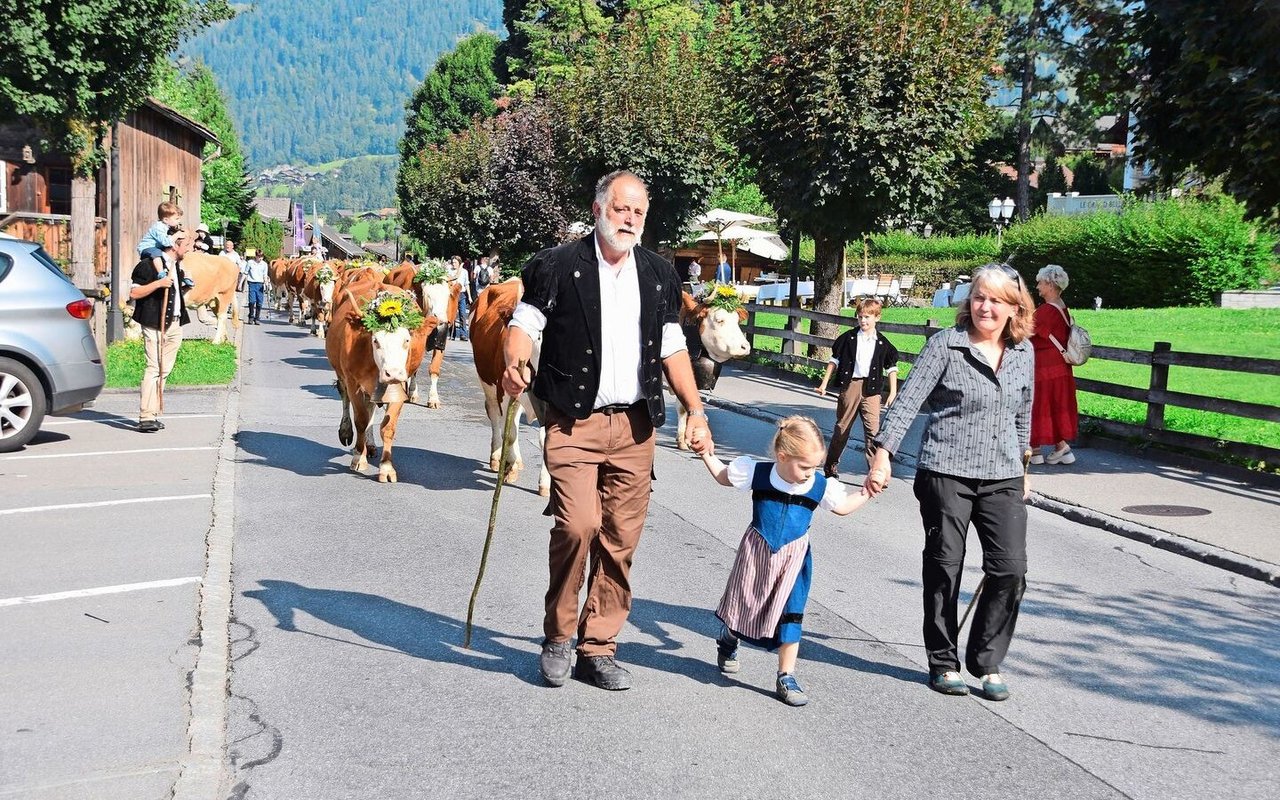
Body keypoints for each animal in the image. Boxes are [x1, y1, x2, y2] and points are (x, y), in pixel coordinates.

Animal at [325, 277, 440, 483]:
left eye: (407, 340)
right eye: (376, 341)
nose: (392, 372)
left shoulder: (400, 384)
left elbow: (388, 426)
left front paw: (386, 467)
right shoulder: (353, 382)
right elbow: (361, 420)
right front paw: (358, 457)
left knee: (370, 407)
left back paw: (370, 446)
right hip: (341, 374)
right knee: (344, 397)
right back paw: (348, 433)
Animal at [471, 279, 550, 494]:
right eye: (538, 335)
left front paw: (546, 483)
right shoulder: (503, 392)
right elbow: (511, 434)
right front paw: (510, 470)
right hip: (488, 383)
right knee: (495, 416)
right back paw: (498, 458)